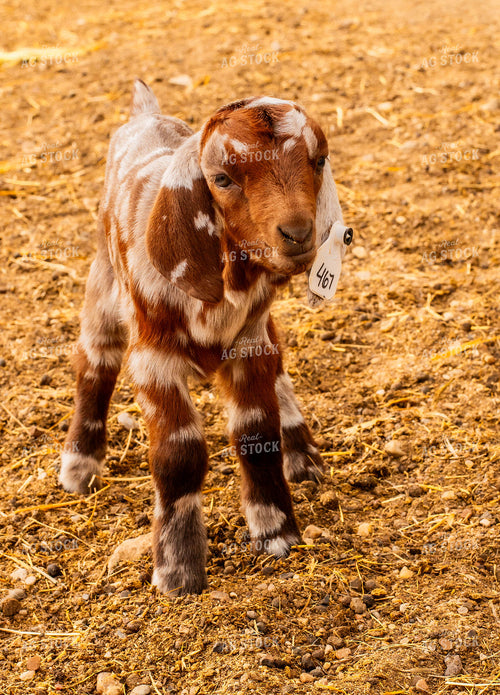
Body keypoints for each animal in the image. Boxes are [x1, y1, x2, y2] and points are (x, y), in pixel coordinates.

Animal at [59, 80, 348, 595]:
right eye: (222, 178)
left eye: (318, 160)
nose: (298, 234)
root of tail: (145, 114)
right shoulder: (153, 360)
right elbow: (178, 456)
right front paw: (178, 570)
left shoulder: (251, 344)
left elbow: (257, 434)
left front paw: (276, 532)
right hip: (102, 286)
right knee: (94, 365)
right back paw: (79, 465)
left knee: (281, 375)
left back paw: (302, 455)